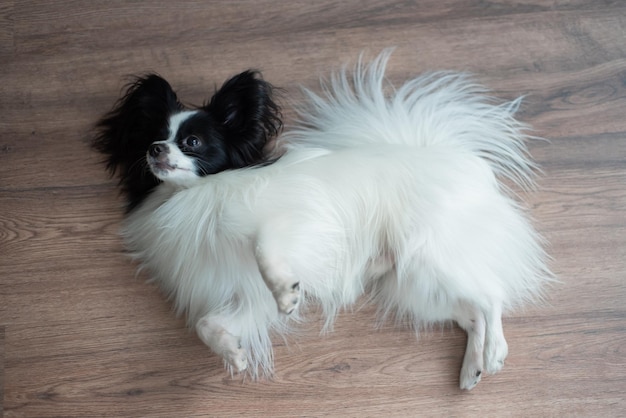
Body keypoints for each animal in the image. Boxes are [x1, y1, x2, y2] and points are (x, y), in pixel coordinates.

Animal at [94, 53, 552, 392]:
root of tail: (452, 157)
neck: (192, 197)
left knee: (490, 294)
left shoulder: (291, 222)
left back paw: (494, 352)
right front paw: (231, 352)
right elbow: (208, 323)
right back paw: (473, 366)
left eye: (191, 142)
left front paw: (287, 293)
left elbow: (264, 249)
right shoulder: (246, 297)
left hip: (429, 256)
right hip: (416, 285)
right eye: (152, 136)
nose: (155, 149)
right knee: (472, 312)